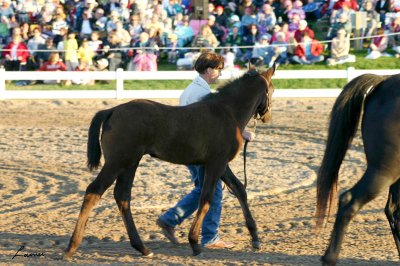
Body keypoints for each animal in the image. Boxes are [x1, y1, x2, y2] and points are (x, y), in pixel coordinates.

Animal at [64, 65, 276, 260]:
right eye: (272, 89)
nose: (267, 117)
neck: (227, 113)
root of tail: (113, 110)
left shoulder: (220, 164)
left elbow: (239, 190)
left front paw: (255, 238)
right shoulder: (216, 163)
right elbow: (206, 198)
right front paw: (194, 243)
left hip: (130, 163)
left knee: (122, 196)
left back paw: (142, 248)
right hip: (117, 162)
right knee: (94, 191)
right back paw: (71, 247)